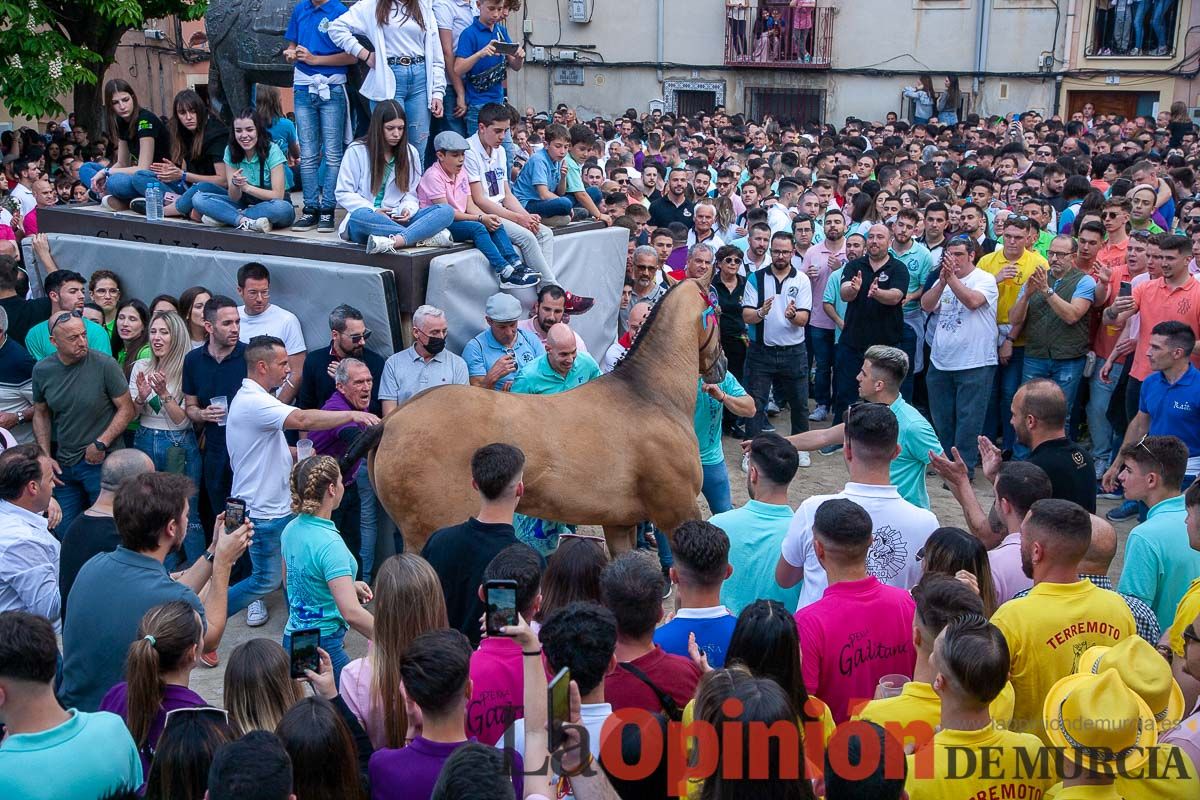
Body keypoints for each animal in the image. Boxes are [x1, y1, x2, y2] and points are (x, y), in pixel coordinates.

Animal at [343, 278, 724, 554]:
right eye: (717, 310)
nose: (720, 364)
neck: (647, 395)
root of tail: (390, 423)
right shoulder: (678, 513)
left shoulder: (620, 524)